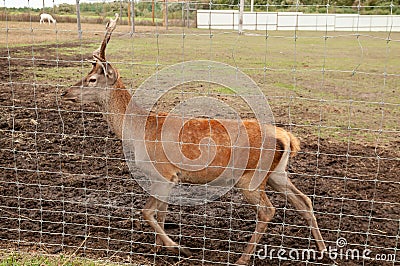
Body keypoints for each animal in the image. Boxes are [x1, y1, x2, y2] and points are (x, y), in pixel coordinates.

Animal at [61, 15, 324, 266]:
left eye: (92, 79)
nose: (65, 92)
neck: (138, 132)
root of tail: (286, 137)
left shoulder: (164, 172)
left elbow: (147, 212)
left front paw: (179, 248)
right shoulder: (167, 177)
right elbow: (161, 213)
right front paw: (158, 248)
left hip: (251, 177)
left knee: (268, 211)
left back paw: (242, 258)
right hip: (277, 173)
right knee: (304, 201)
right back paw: (323, 251)